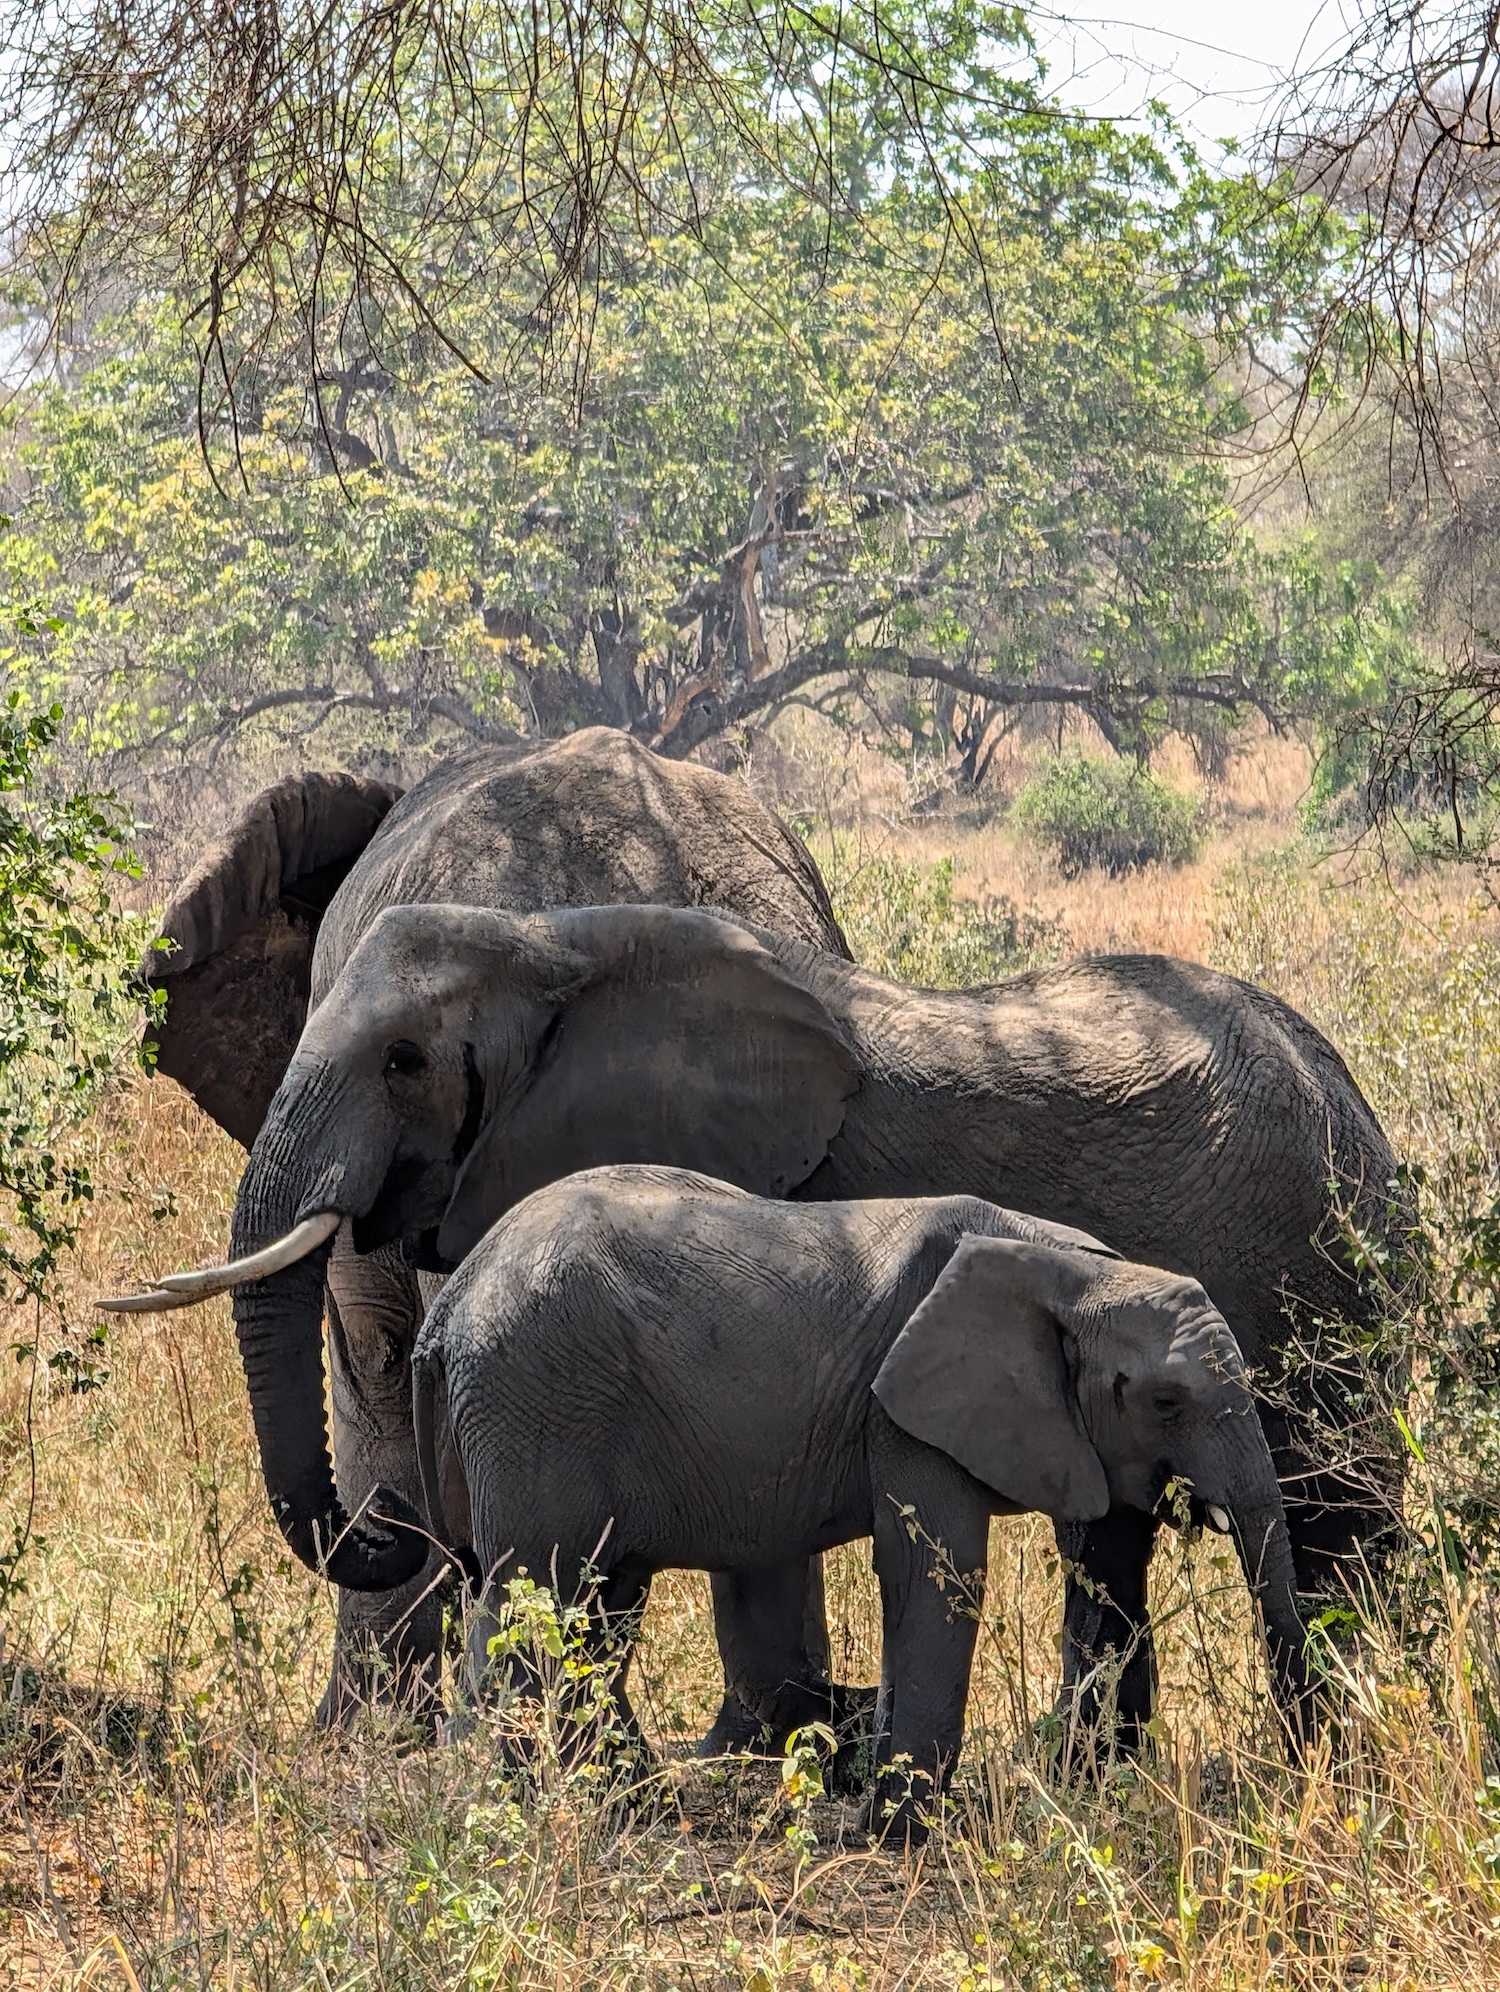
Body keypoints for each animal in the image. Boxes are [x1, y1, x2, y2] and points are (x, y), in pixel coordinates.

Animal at [113, 895, 1404, 1754]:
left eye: (402, 1061)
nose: (388, 1520)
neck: (556, 946)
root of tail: (1340, 1077)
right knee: (1131, 1538)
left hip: (1314, 1262)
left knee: (1339, 1515)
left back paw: (1357, 1740)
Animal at [409, 1165, 1318, 1834]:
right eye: (1165, 1401)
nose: (1302, 1784)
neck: (1074, 1270)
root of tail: (452, 1301)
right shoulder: (906, 1409)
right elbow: (936, 1572)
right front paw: (895, 1836)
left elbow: (1101, 1561)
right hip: (537, 1396)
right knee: (538, 1595)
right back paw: (524, 1813)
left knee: (600, 1606)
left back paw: (634, 1807)